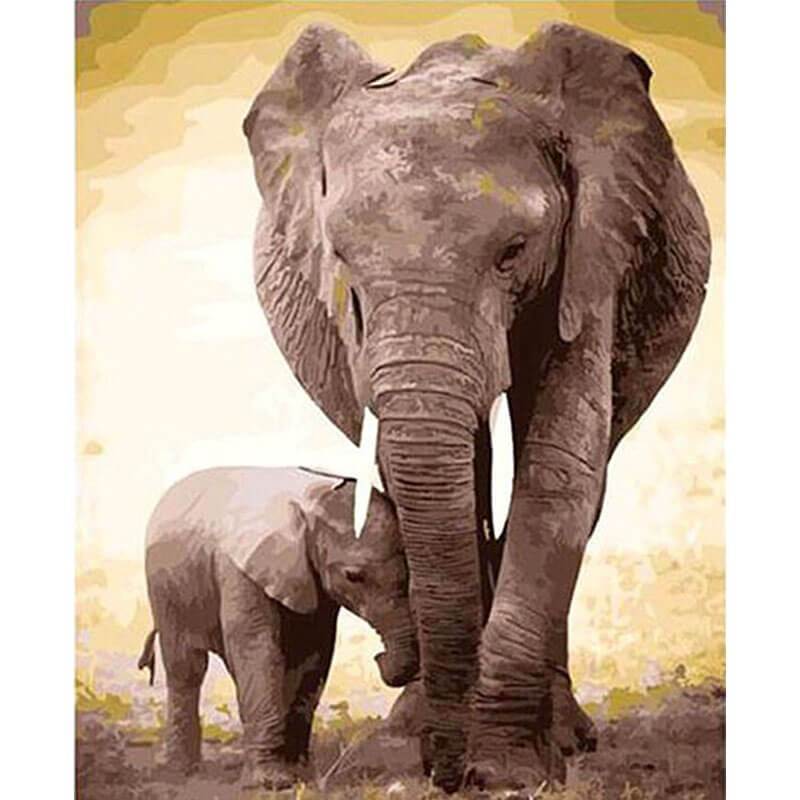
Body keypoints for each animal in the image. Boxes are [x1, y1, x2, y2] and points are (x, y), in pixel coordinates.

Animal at [138, 466, 419, 790]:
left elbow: (313, 654)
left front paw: (299, 775)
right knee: (187, 668)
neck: (311, 505)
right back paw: (180, 770)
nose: (379, 657)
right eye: (353, 576)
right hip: (163, 587)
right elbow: (258, 649)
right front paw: (270, 783)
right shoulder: (241, 572)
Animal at [243, 21, 710, 793]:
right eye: (341, 257)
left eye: (513, 251)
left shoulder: (592, 255)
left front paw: (508, 769)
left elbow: (559, 470)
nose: (447, 771)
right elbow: (415, 471)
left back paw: (564, 734)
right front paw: (445, 749)